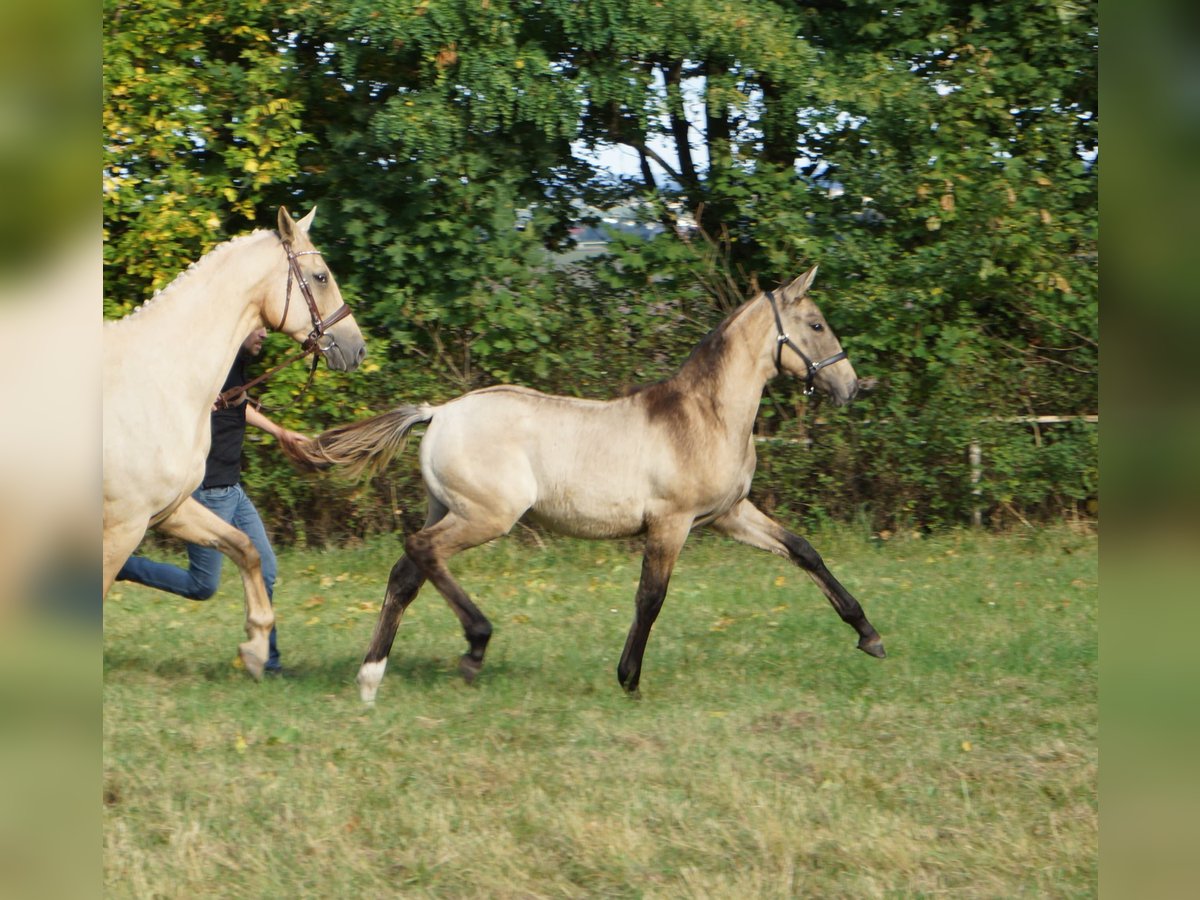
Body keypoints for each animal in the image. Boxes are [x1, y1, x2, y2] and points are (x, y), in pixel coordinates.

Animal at [103, 207, 367, 679]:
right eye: (320, 276)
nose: (356, 348)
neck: (160, 379)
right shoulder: (123, 523)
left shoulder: (169, 508)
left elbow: (245, 549)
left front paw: (257, 647)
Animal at [286, 266, 884, 701]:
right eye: (816, 325)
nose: (850, 386)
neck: (704, 416)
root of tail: (439, 413)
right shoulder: (671, 524)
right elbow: (651, 598)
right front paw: (629, 679)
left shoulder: (729, 514)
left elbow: (803, 551)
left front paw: (869, 636)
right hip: (486, 517)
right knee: (421, 552)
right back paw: (475, 647)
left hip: (448, 509)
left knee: (406, 574)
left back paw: (371, 677)